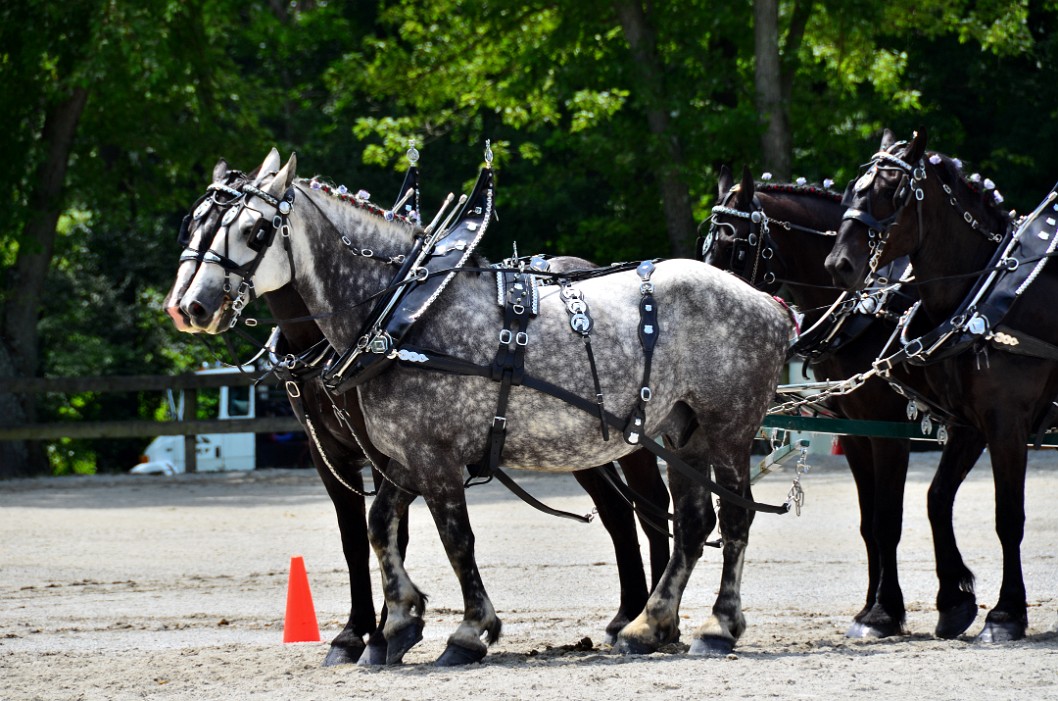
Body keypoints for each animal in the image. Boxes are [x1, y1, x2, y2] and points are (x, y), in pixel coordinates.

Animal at [165, 151, 795, 668]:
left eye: (255, 230)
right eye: (192, 222)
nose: (189, 306)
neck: (401, 314)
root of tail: (766, 301)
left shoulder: (434, 456)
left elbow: (453, 538)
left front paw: (466, 632)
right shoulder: (402, 453)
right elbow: (378, 527)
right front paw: (398, 622)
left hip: (726, 430)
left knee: (729, 519)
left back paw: (714, 626)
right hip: (682, 432)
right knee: (690, 521)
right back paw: (649, 624)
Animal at [706, 167, 931, 638]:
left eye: (733, 243)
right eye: (708, 243)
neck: (868, 313)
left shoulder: (891, 432)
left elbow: (888, 520)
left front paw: (886, 612)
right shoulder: (858, 433)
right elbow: (868, 524)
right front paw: (869, 608)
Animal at [825, 128, 1058, 642]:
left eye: (890, 192)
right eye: (851, 191)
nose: (839, 265)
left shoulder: (1005, 423)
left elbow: (1007, 517)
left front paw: (1006, 614)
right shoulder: (967, 424)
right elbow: (933, 501)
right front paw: (953, 602)